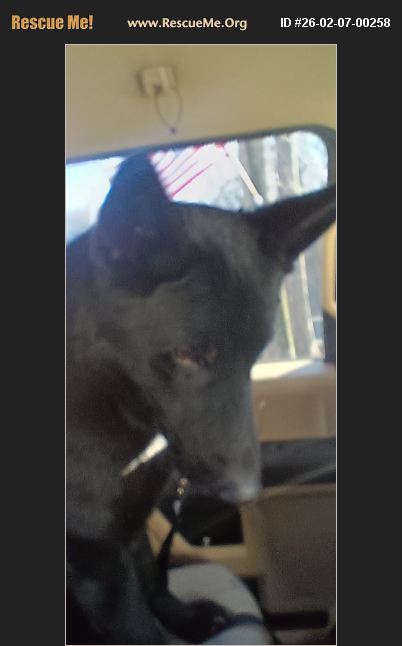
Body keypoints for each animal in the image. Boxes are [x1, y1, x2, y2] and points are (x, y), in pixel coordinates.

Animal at [66, 152, 336, 643]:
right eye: (188, 354)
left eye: (256, 353)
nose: (247, 491)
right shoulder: (96, 561)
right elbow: (139, 628)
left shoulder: (131, 528)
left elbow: (152, 577)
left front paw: (184, 618)